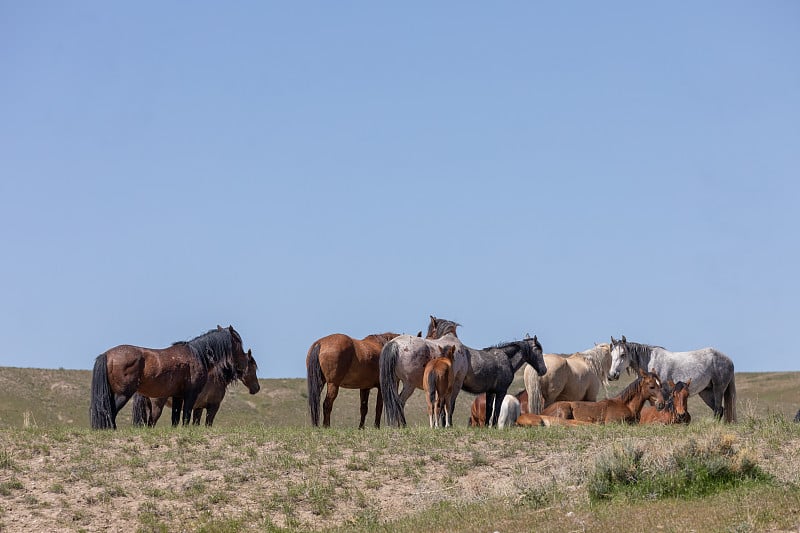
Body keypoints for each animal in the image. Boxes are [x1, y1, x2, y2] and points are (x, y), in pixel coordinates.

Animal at [130, 348, 258, 426]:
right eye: (253, 367)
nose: (256, 388)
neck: (217, 375)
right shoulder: (213, 407)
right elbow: (208, 424)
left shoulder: (198, 408)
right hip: (157, 406)